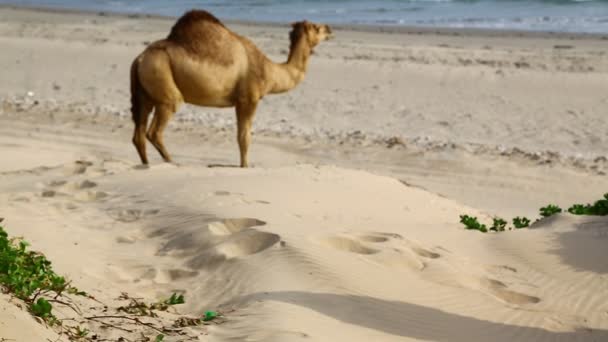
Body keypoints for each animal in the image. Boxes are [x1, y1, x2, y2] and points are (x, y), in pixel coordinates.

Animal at [129, 9, 332, 167]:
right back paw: (172, 162)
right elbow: (244, 138)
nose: (330, 29)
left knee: (139, 134)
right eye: (317, 27)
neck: (270, 71)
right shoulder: (248, 99)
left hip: (145, 94)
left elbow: (242, 137)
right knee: (154, 131)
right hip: (163, 84)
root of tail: (139, 59)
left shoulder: (239, 102)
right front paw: (245, 166)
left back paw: (147, 165)